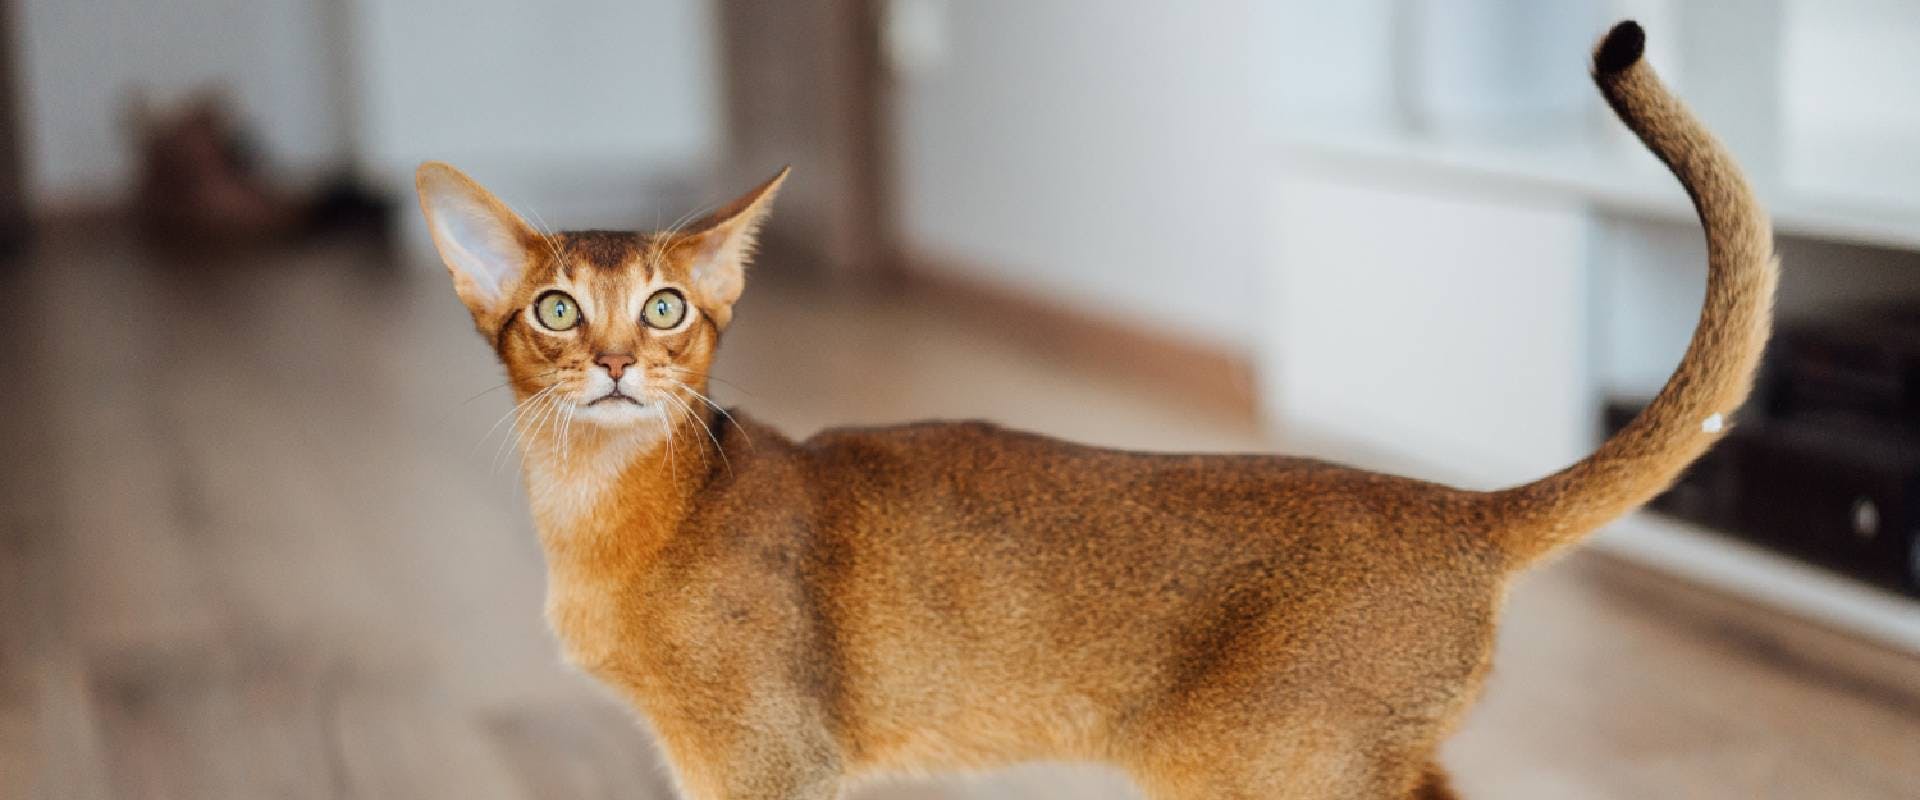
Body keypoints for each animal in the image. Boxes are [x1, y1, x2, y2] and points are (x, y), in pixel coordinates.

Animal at [416, 23, 1766, 798]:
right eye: (554, 311)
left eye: (664, 309)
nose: (613, 364)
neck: (610, 513)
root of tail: (1456, 505)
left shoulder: (763, 761)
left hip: (1270, 770)